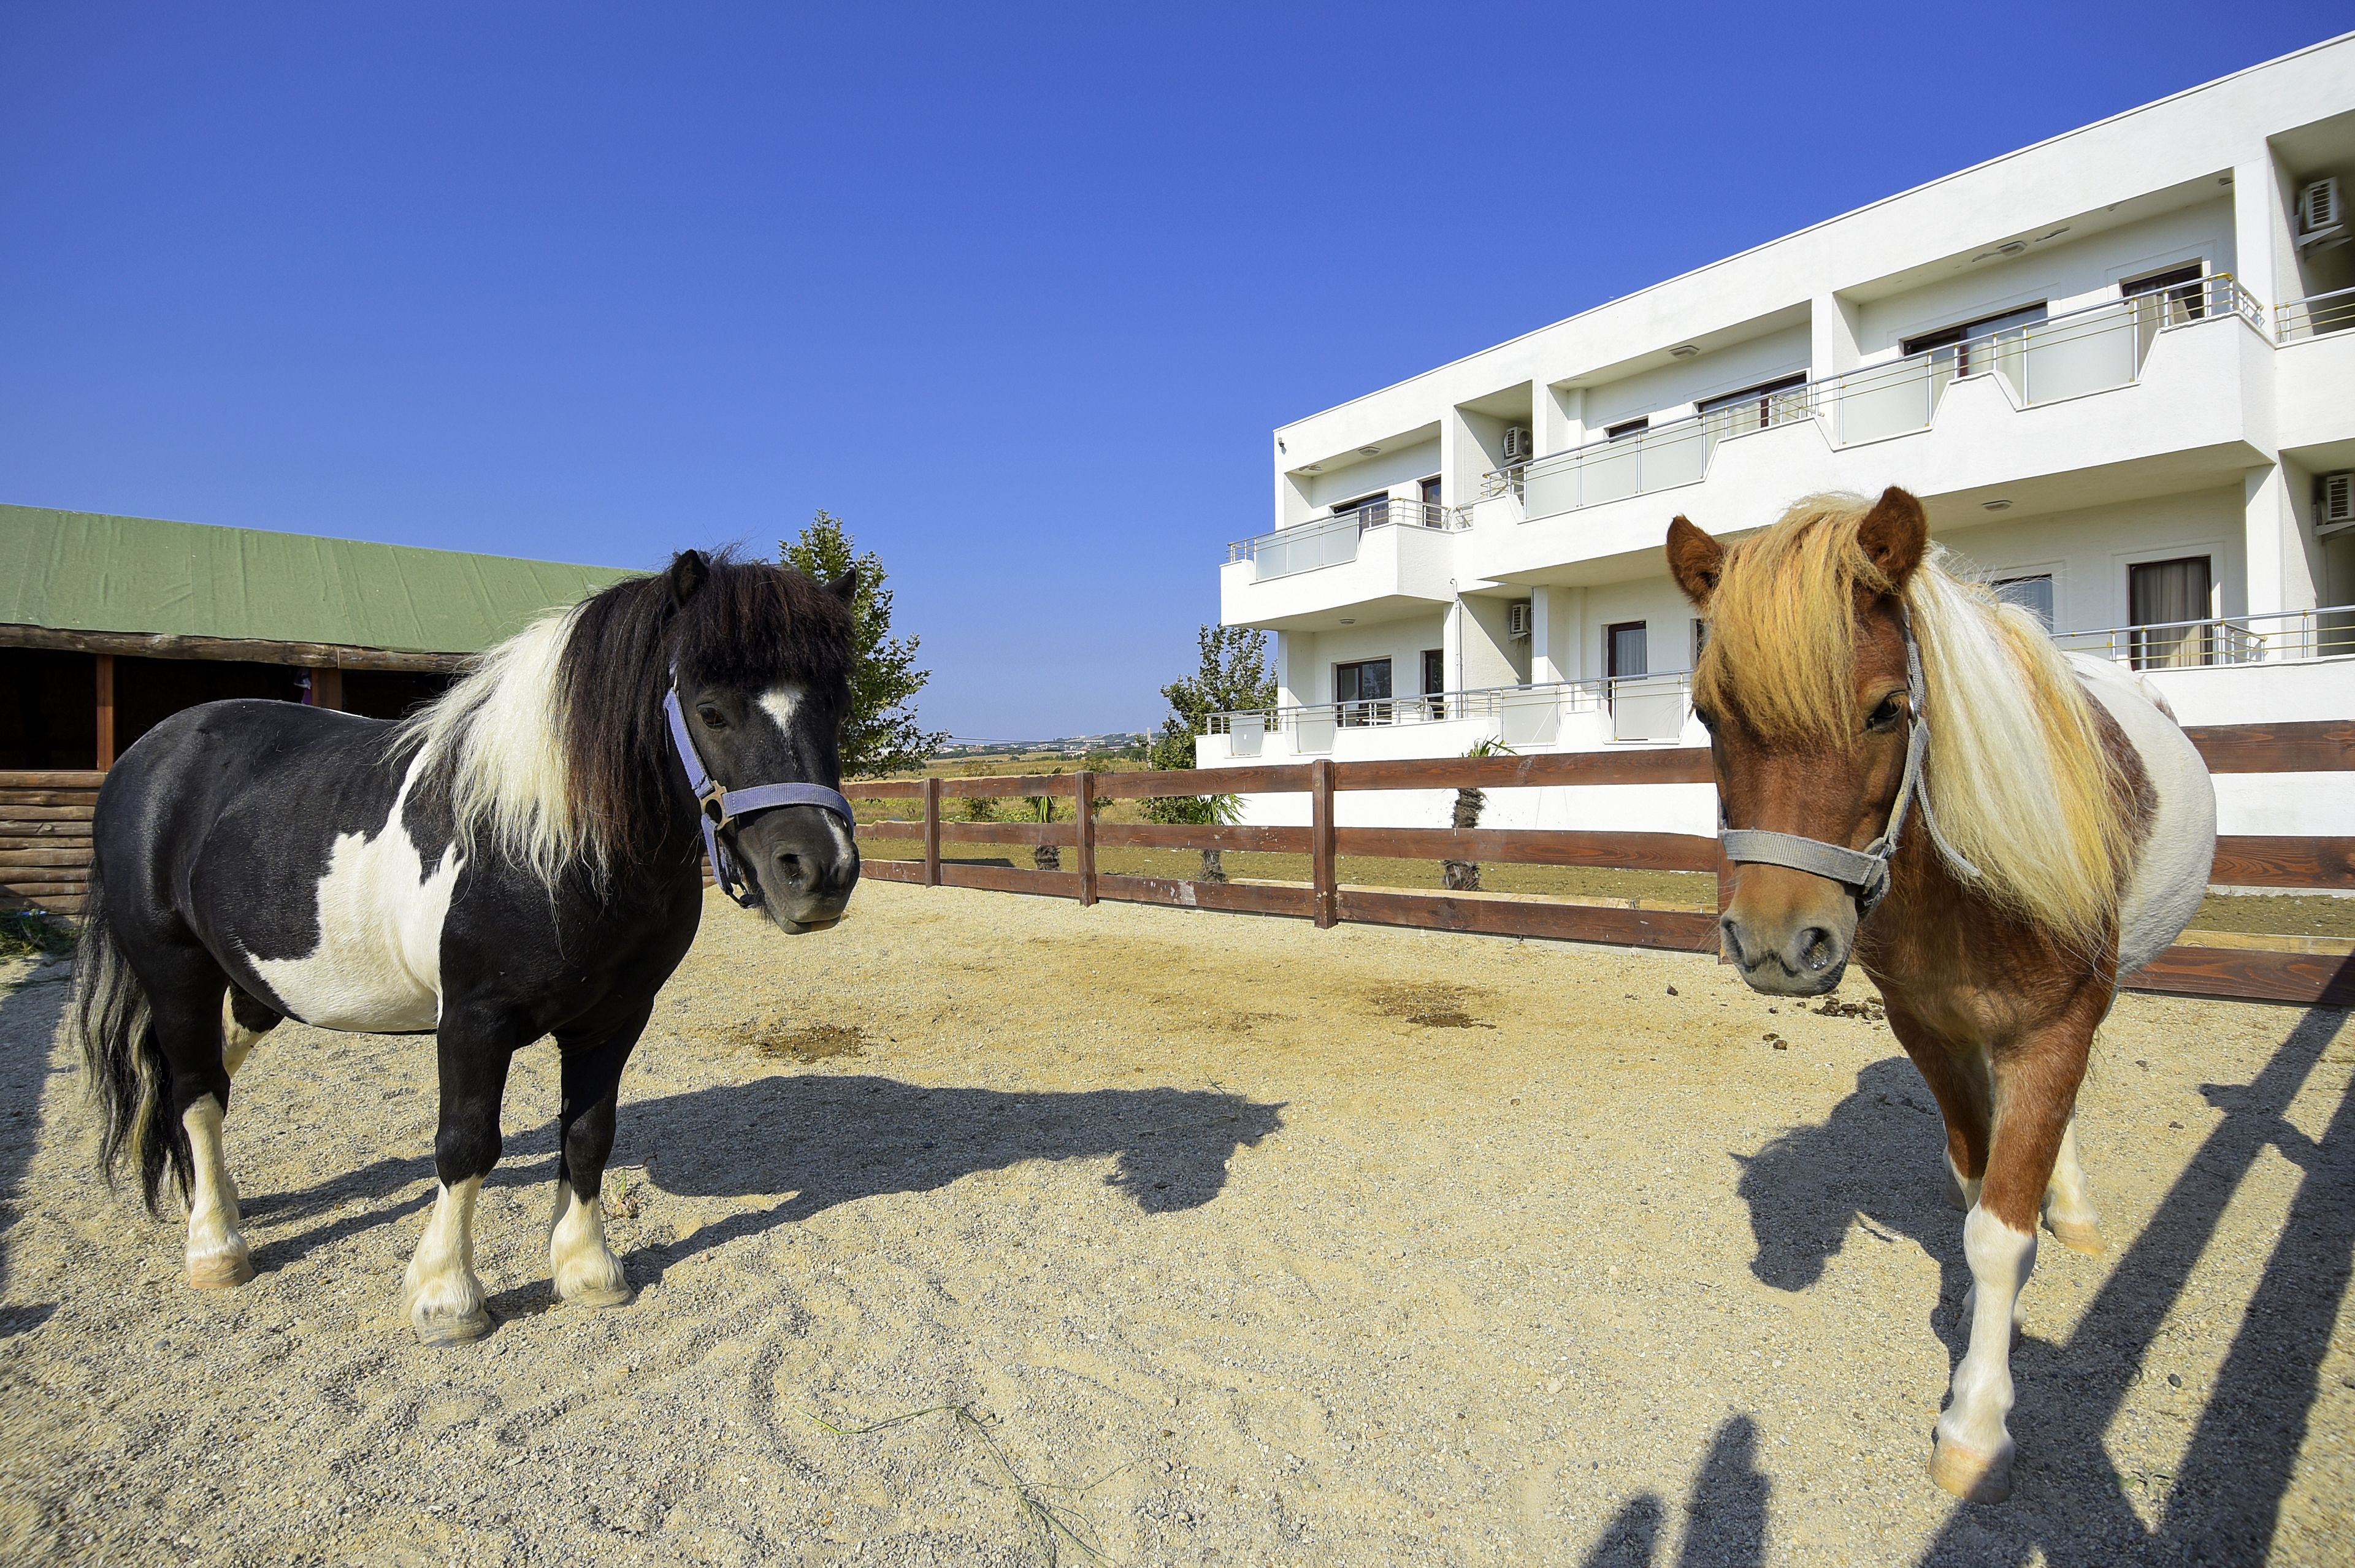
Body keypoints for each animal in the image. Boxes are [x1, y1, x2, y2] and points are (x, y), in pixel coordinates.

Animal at [72, 550, 862, 1345]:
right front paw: (446, 1296)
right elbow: (467, 1144)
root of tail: (147, 755)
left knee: (208, 1076)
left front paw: (587, 1270)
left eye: (834, 707)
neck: (544, 840)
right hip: (177, 971)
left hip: (257, 985)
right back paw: (216, 1246)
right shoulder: (473, 1019)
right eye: (711, 711)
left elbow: (588, 1134)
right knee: (195, 1091)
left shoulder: (616, 1016)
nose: (820, 871)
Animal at [1664, 488, 2215, 1503]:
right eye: (1709, 716)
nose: (1776, 943)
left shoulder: (2058, 1023)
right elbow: (1976, 1190)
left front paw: (1976, 1424)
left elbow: (2001, 1232)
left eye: (1889, 709)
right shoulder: (1931, 1032)